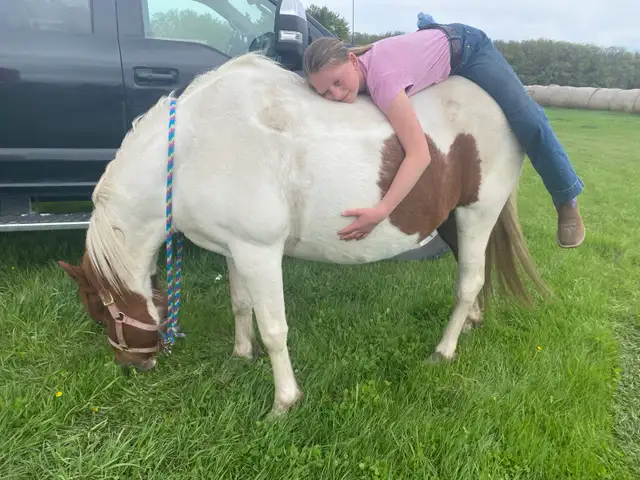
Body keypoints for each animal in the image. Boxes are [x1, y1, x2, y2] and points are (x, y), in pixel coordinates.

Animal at [58, 52, 548, 417]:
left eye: (100, 314)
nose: (133, 366)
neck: (190, 153)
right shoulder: (234, 250)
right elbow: (240, 306)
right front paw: (240, 357)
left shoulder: (260, 252)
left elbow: (274, 328)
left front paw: (284, 402)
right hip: (453, 220)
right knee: (474, 273)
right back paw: (471, 323)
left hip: (477, 214)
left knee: (469, 282)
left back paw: (444, 350)